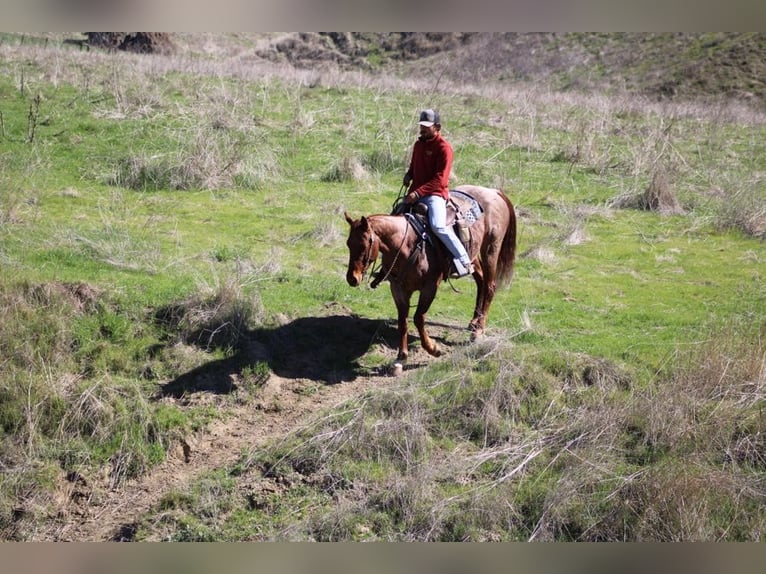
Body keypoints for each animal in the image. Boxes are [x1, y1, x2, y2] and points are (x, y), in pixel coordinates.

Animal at [344, 184, 517, 362]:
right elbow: (403, 320)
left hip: (491, 250)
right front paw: (401, 357)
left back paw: (479, 330)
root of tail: (494, 192)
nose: (352, 278)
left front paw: (433, 349)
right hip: (472, 255)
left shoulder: (430, 288)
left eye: (363, 246)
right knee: (481, 281)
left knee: (490, 286)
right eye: (349, 244)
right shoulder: (398, 289)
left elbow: (418, 318)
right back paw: (474, 322)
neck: (408, 244)